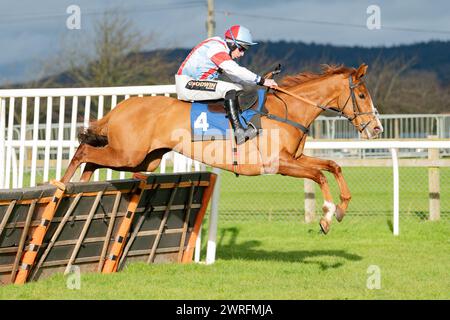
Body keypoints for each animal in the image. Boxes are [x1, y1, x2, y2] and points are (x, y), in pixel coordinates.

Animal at [60, 63, 384, 232]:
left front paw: (341, 208)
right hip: (128, 154)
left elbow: (332, 166)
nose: (377, 129)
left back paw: (82, 188)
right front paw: (328, 215)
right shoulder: (279, 164)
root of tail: (121, 107)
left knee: (92, 160)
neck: (287, 110)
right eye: (362, 95)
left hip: (142, 161)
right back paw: (62, 185)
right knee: (84, 151)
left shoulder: (296, 158)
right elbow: (318, 176)